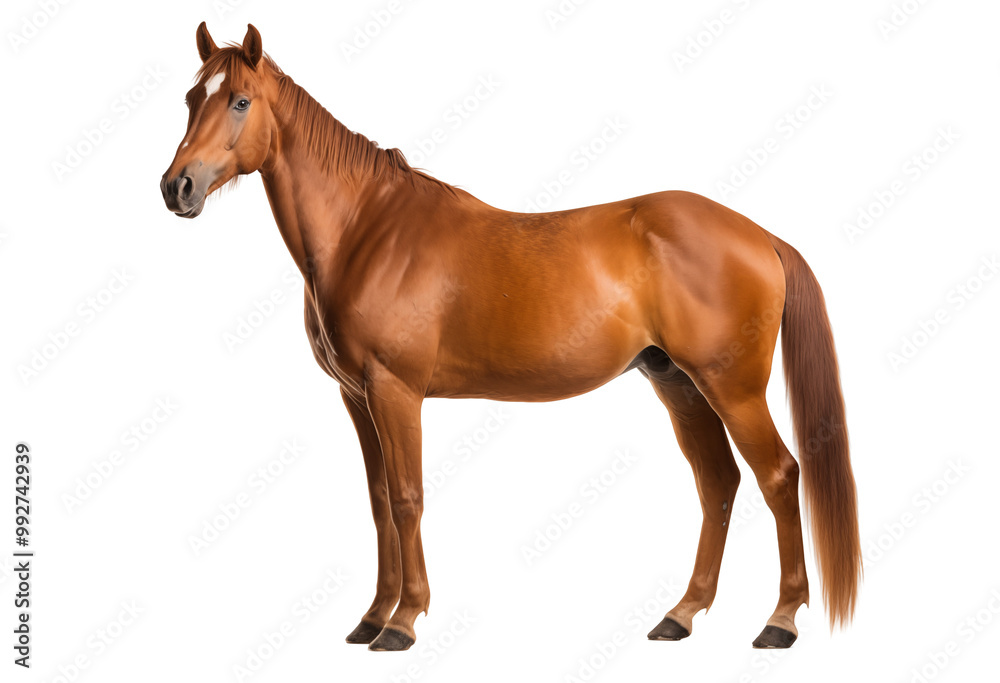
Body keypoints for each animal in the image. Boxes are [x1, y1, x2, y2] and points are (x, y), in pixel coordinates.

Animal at [161, 23, 861, 651]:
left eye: (240, 100)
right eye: (193, 97)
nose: (177, 187)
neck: (368, 230)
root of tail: (759, 234)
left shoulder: (394, 391)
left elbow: (408, 498)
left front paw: (403, 621)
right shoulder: (357, 397)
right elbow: (380, 500)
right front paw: (371, 617)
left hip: (732, 388)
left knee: (779, 476)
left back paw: (780, 620)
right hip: (679, 385)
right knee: (718, 483)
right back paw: (680, 614)